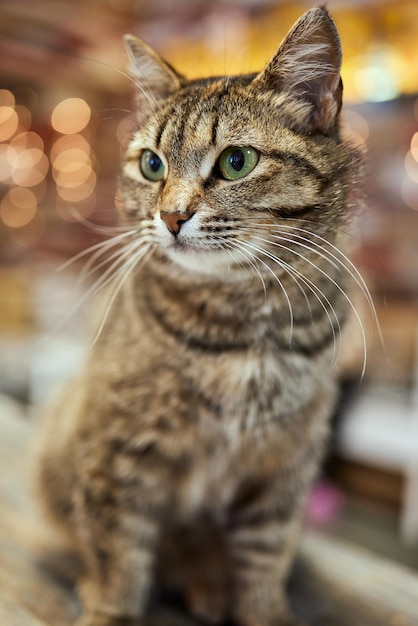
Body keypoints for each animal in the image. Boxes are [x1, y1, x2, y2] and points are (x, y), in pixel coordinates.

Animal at [35, 6, 362, 624]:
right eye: (151, 164)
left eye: (236, 162)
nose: (170, 216)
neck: (239, 321)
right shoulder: (117, 449)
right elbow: (119, 553)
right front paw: (109, 607)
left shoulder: (283, 471)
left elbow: (264, 564)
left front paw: (263, 611)